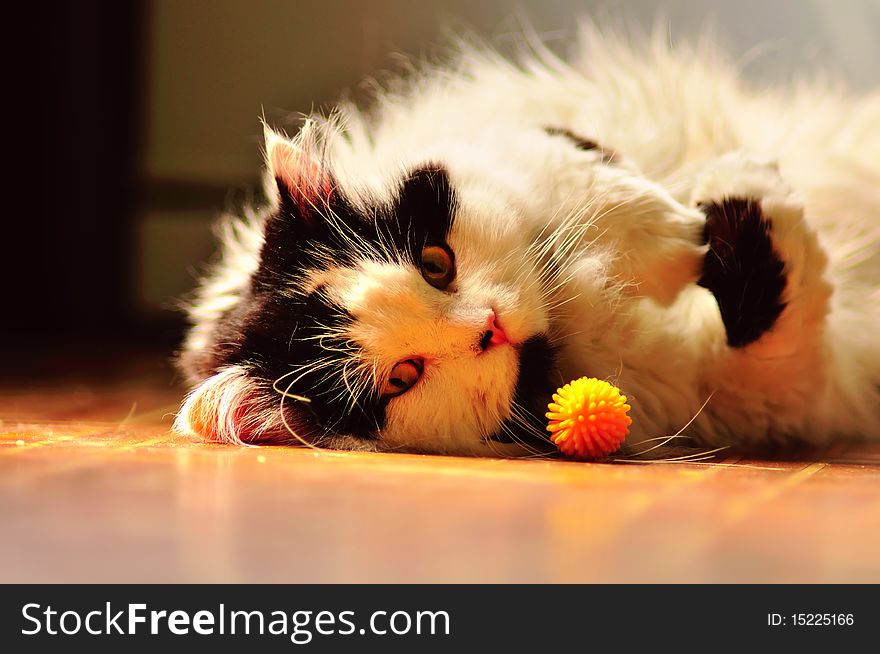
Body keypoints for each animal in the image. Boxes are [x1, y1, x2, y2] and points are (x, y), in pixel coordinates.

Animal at [172, 24, 880, 456]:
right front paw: (734, 195)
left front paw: (689, 231)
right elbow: (772, 310)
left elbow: (598, 193)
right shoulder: (761, 394)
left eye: (435, 263)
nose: (490, 327)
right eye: (403, 376)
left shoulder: (534, 137)